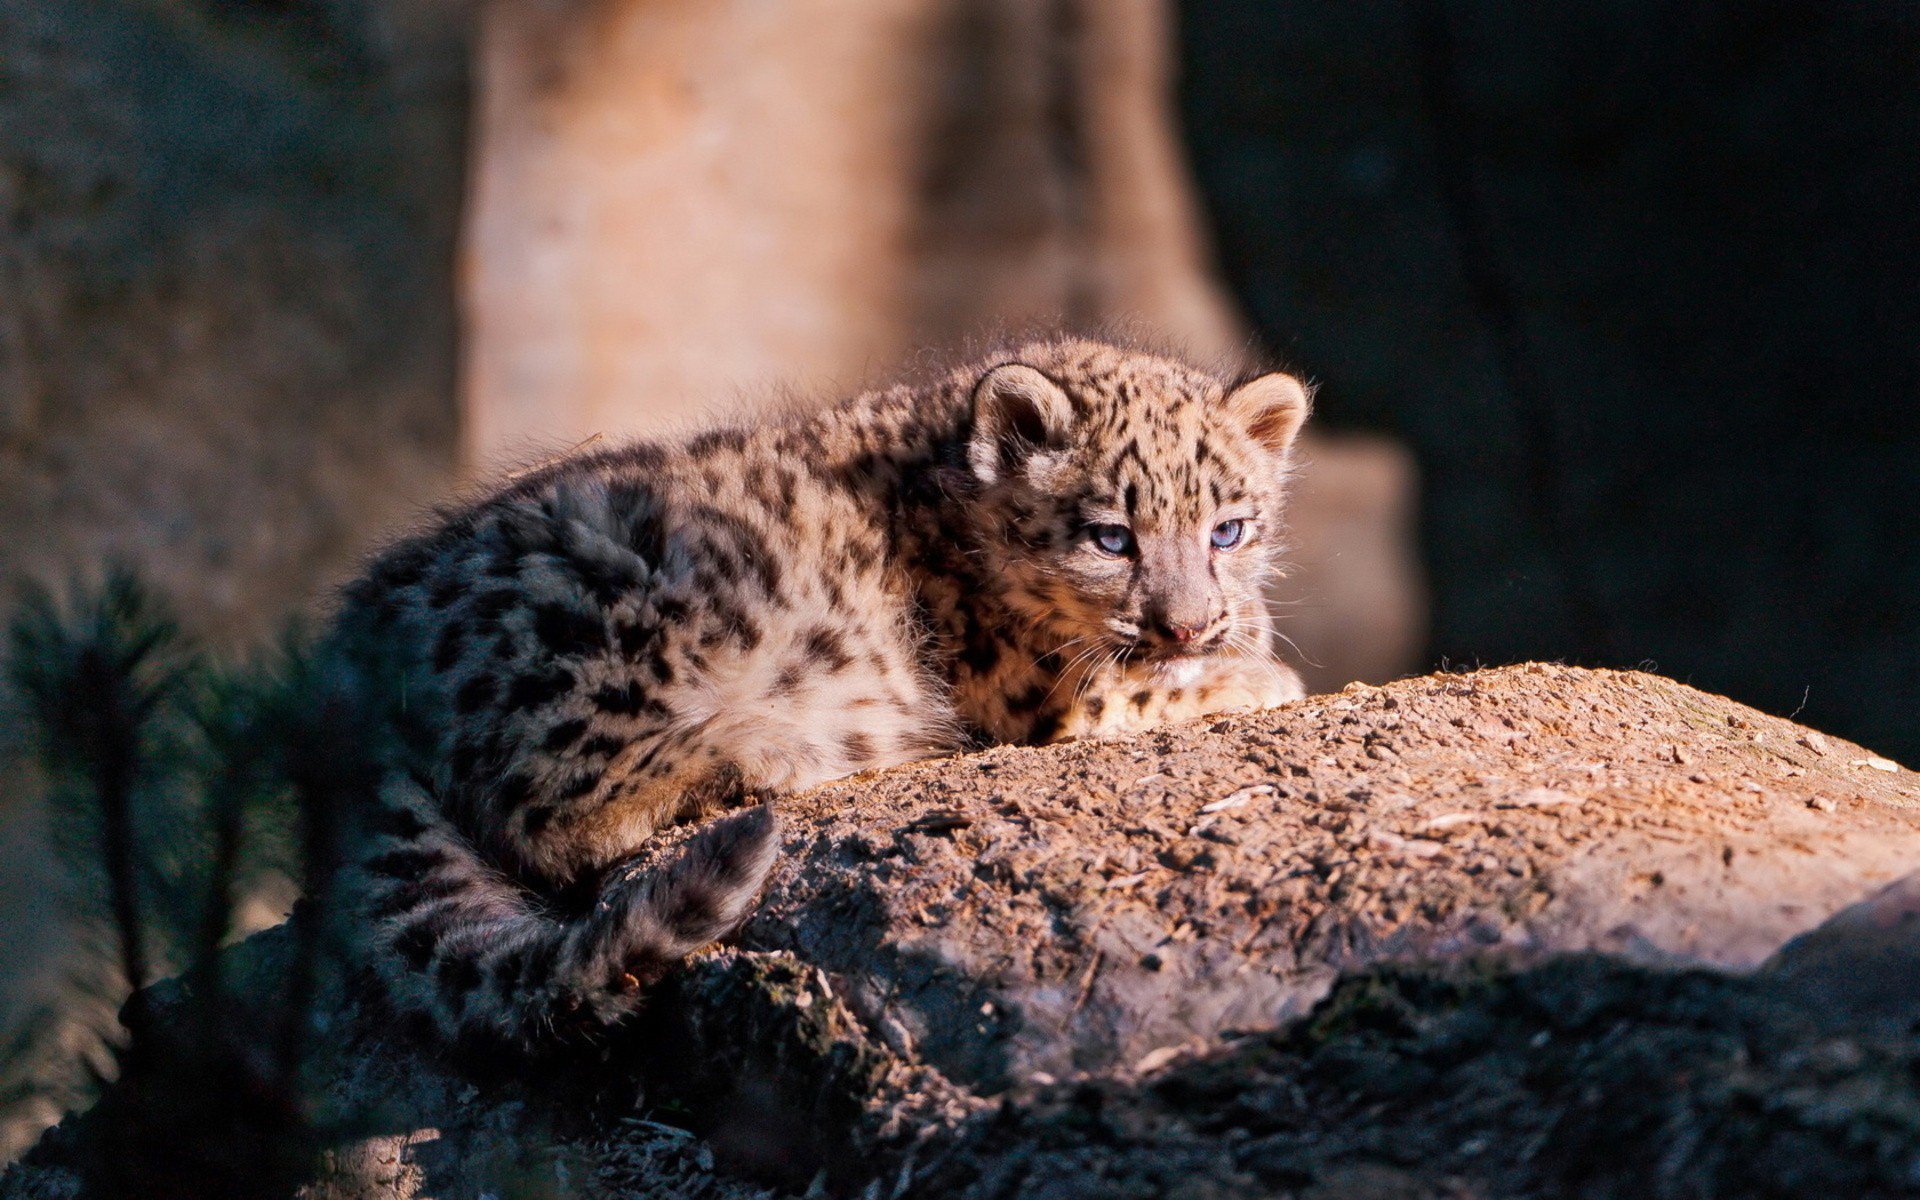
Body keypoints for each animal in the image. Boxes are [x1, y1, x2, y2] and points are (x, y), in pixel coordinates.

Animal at [331, 336, 1311, 1050]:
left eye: (1228, 530)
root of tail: (351, 672)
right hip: (599, 645)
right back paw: (777, 750)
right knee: (552, 813)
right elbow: (1132, 689)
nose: (1188, 624)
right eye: (1111, 538)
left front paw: (1246, 636)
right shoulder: (1030, 687)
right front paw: (1259, 672)